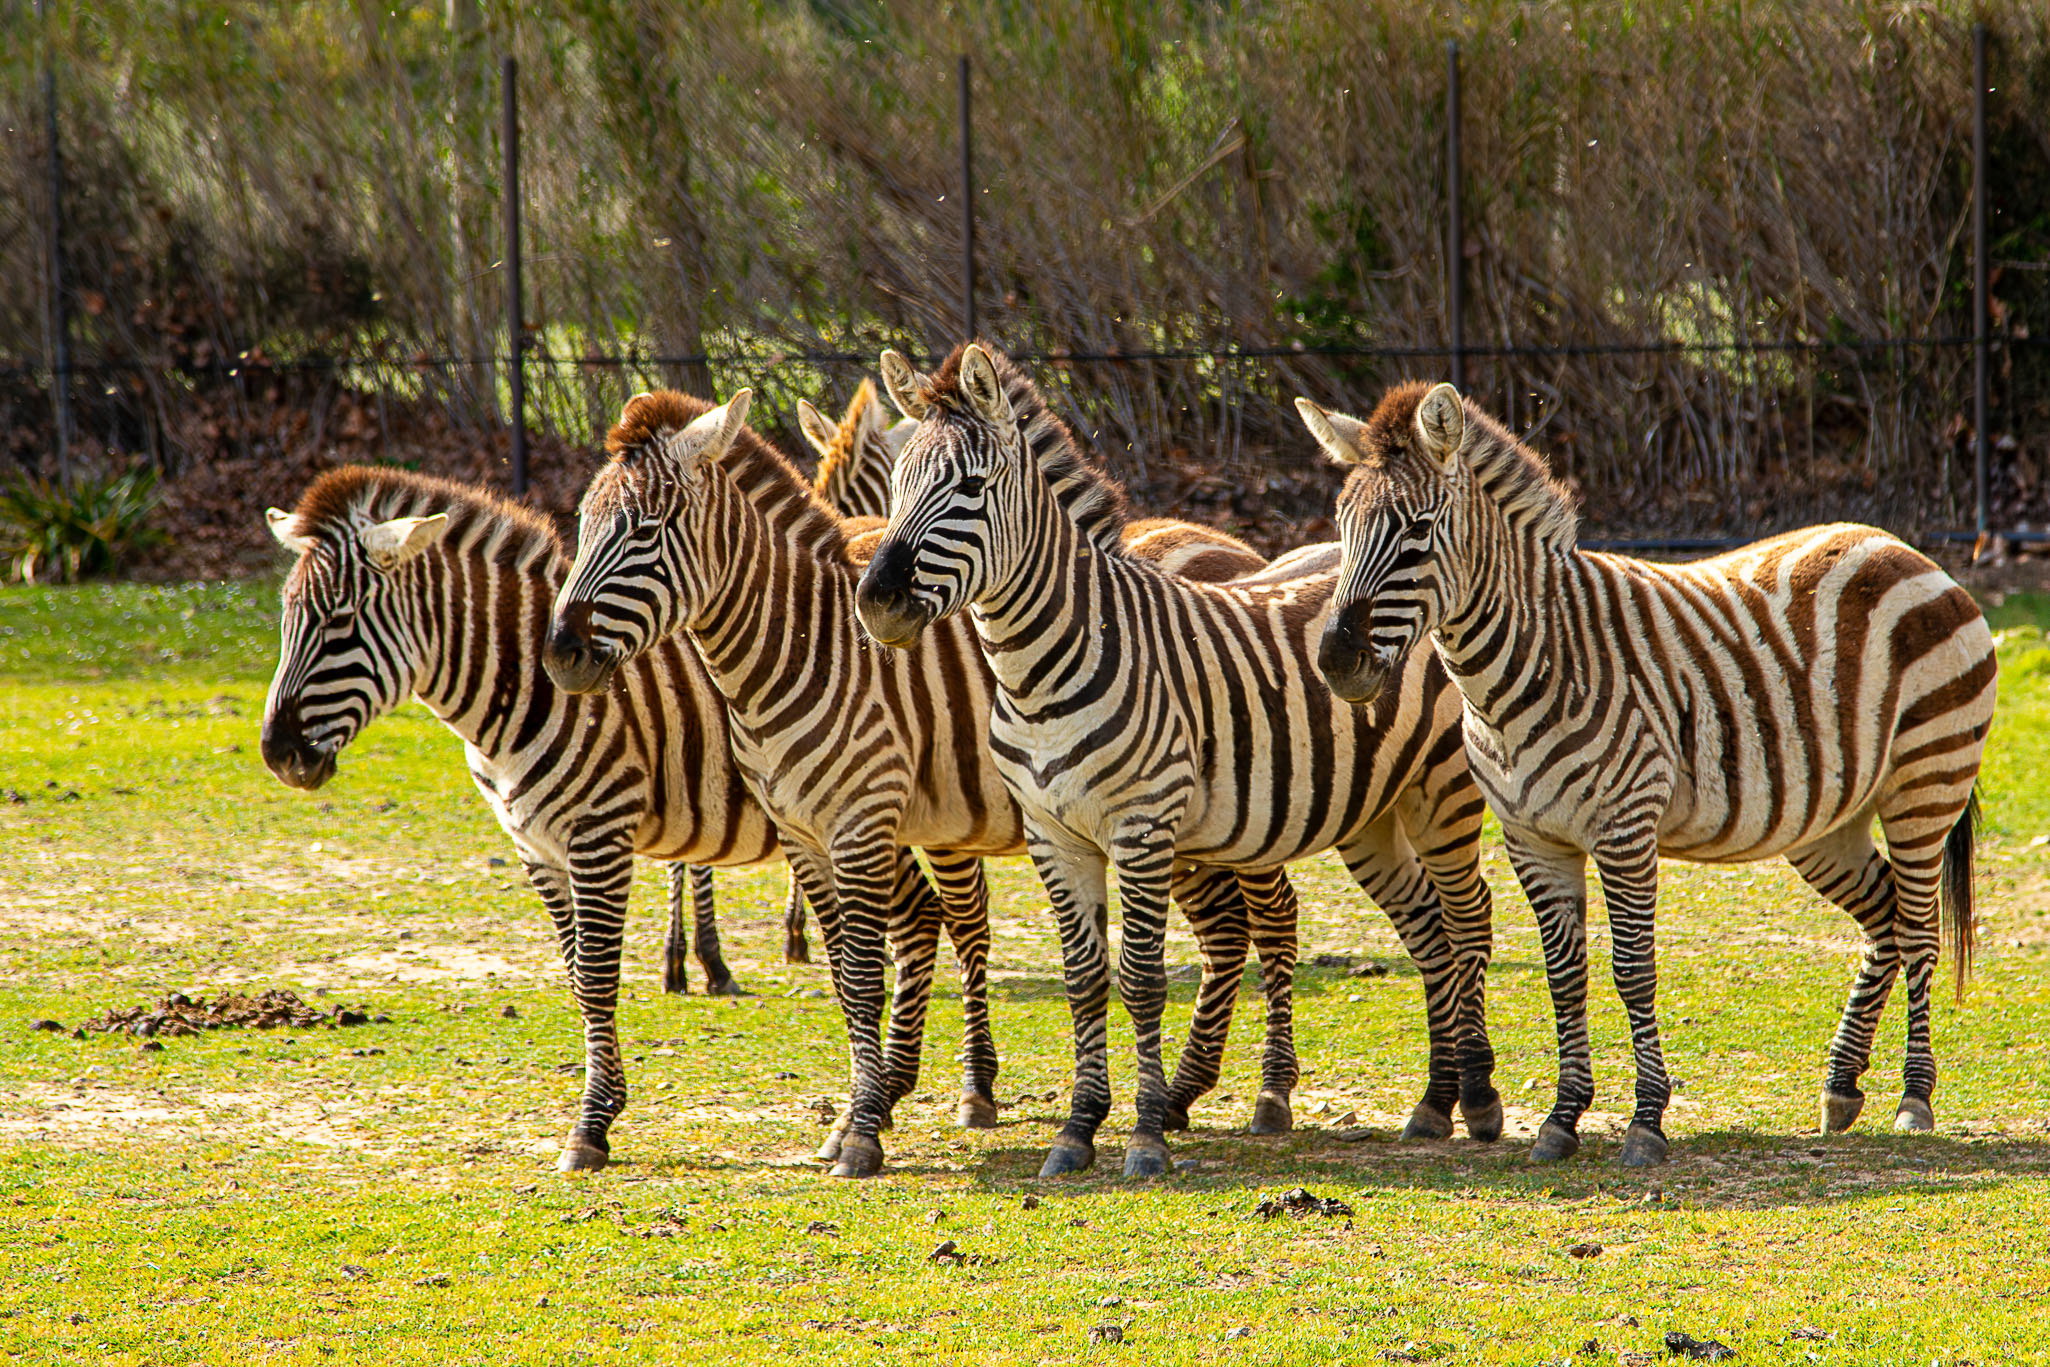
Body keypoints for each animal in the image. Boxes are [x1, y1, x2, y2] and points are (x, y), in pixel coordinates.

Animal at [256, 466, 990, 1173]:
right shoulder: (536, 847)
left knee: (964, 918)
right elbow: (576, 973)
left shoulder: (598, 833)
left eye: (342, 620)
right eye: (287, 618)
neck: (525, 687)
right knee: (922, 916)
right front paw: (602, 1109)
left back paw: (972, 1090)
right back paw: (889, 1091)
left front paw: (592, 1126)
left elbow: (597, 976)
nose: (277, 753)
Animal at [543, 388, 1314, 1176]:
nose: (561, 653)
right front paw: (860, 1115)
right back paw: (1186, 1093)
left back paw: (1268, 1094)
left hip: (1235, 807)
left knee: (1271, 918)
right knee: (1227, 933)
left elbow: (863, 974)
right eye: (583, 523)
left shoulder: (861, 822)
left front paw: (861, 1133)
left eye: (646, 529)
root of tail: (1242, 551)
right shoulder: (803, 835)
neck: (803, 647)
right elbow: (848, 978)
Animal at [854, 343, 1501, 1179]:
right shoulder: (1054, 836)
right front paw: (1077, 1130)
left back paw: (1477, 1097)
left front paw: (1145, 1136)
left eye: (968, 486)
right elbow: (1085, 980)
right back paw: (1433, 1100)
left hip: (1443, 791)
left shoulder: (1141, 825)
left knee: (1469, 917)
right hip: (1372, 813)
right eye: (896, 487)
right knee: (1429, 929)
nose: (876, 602)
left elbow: (1139, 978)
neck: (1042, 667)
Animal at [1300, 380, 1997, 1165]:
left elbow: (1633, 970)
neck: (1528, 664)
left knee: (1919, 927)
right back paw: (1843, 1086)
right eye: (1342, 528)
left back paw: (1915, 1097)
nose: (1336, 662)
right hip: (1829, 816)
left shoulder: (1625, 827)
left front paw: (1645, 1121)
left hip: (1926, 781)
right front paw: (1562, 1119)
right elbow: (1564, 978)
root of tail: (1906, 549)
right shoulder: (1532, 839)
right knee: (1884, 916)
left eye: (1417, 529)